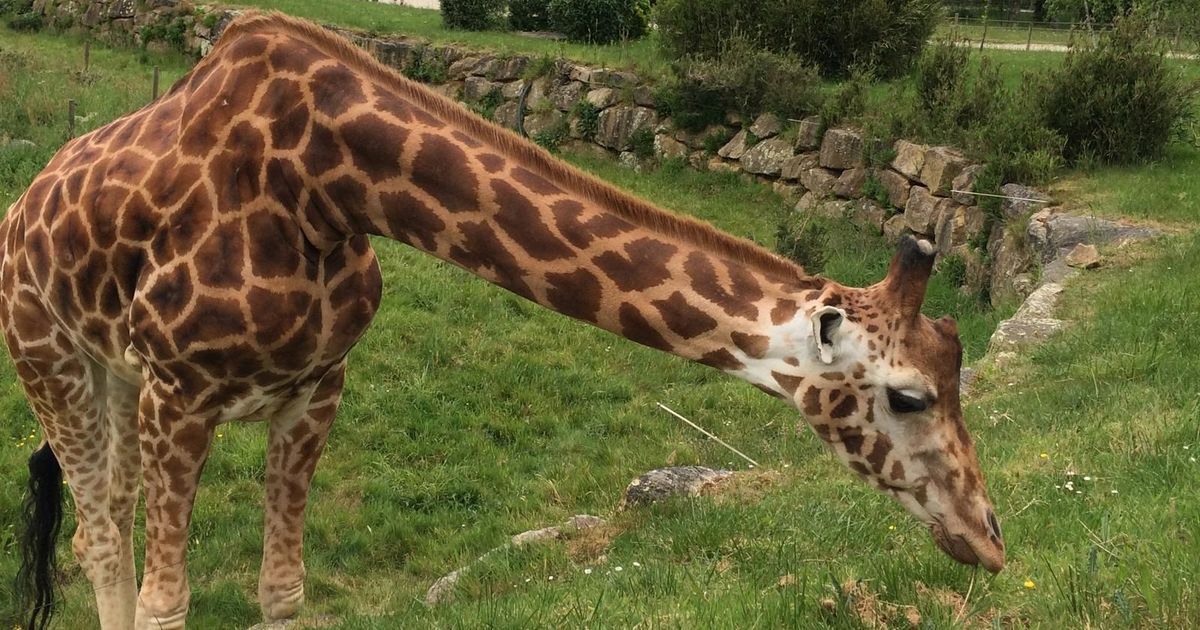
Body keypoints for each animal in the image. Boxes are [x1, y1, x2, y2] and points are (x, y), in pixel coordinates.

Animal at [3, 12, 1004, 630]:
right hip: (51, 358)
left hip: (117, 374)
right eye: (909, 396)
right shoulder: (183, 393)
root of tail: (22, 210)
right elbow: (166, 602)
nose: (988, 540)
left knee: (105, 518)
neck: (328, 187)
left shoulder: (317, 388)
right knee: (101, 529)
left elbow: (281, 593)